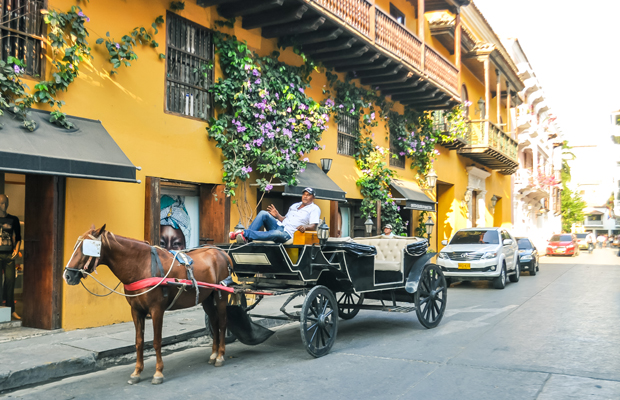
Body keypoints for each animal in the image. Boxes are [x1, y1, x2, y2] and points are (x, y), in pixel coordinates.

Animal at [64, 225, 232, 384]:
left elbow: (157, 342)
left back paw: (220, 356)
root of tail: (222, 253)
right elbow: (139, 342)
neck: (141, 266)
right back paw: (214, 353)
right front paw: (137, 372)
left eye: (85, 248)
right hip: (207, 298)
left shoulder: (157, 310)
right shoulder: (136, 310)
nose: (67, 275)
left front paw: (158, 373)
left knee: (223, 323)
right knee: (214, 321)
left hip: (221, 295)